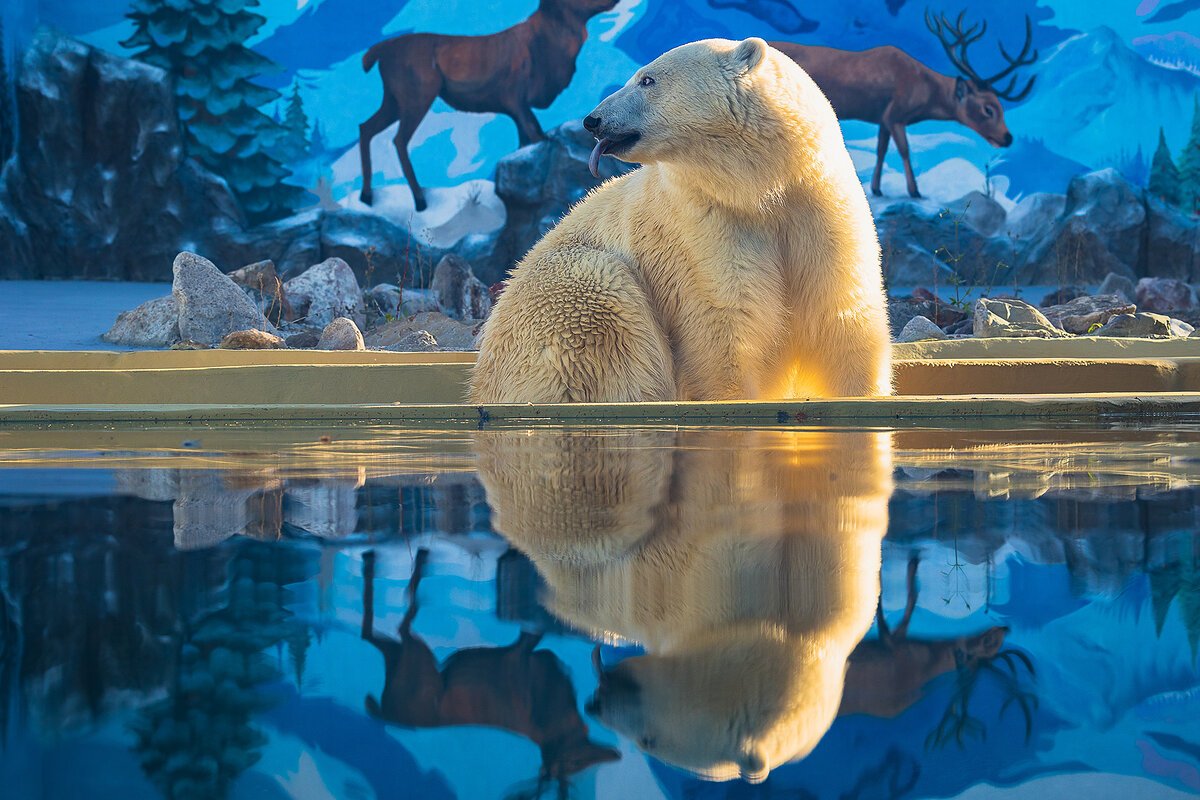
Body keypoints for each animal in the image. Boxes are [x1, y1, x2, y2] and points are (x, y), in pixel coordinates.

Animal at [469, 37, 891, 403]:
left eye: (647, 79)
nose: (592, 120)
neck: (757, 188)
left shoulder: (818, 206)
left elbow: (841, 311)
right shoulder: (700, 227)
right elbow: (725, 322)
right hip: (561, 298)